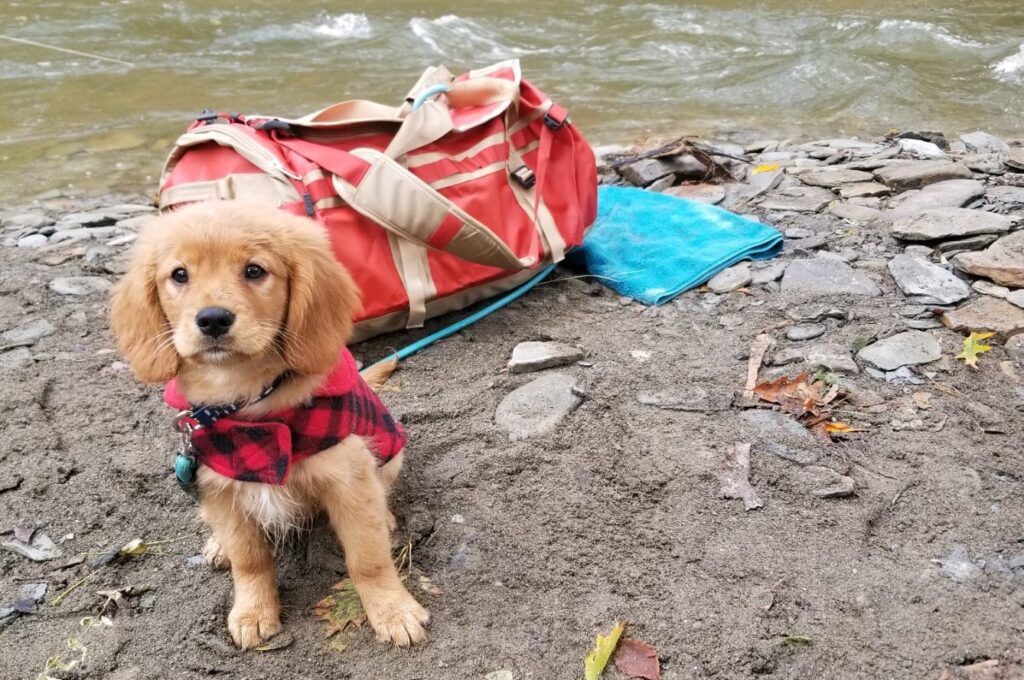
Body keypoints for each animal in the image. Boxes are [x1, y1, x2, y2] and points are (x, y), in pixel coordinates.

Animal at [111, 200, 428, 647]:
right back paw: (217, 545)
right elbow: (250, 559)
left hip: (388, 451)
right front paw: (253, 610)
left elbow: (368, 557)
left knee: (381, 490)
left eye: (255, 270)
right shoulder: (219, 485)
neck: (249, 401)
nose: (212, 319)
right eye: (179, 274)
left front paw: (392, 609)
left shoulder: (348, 478)